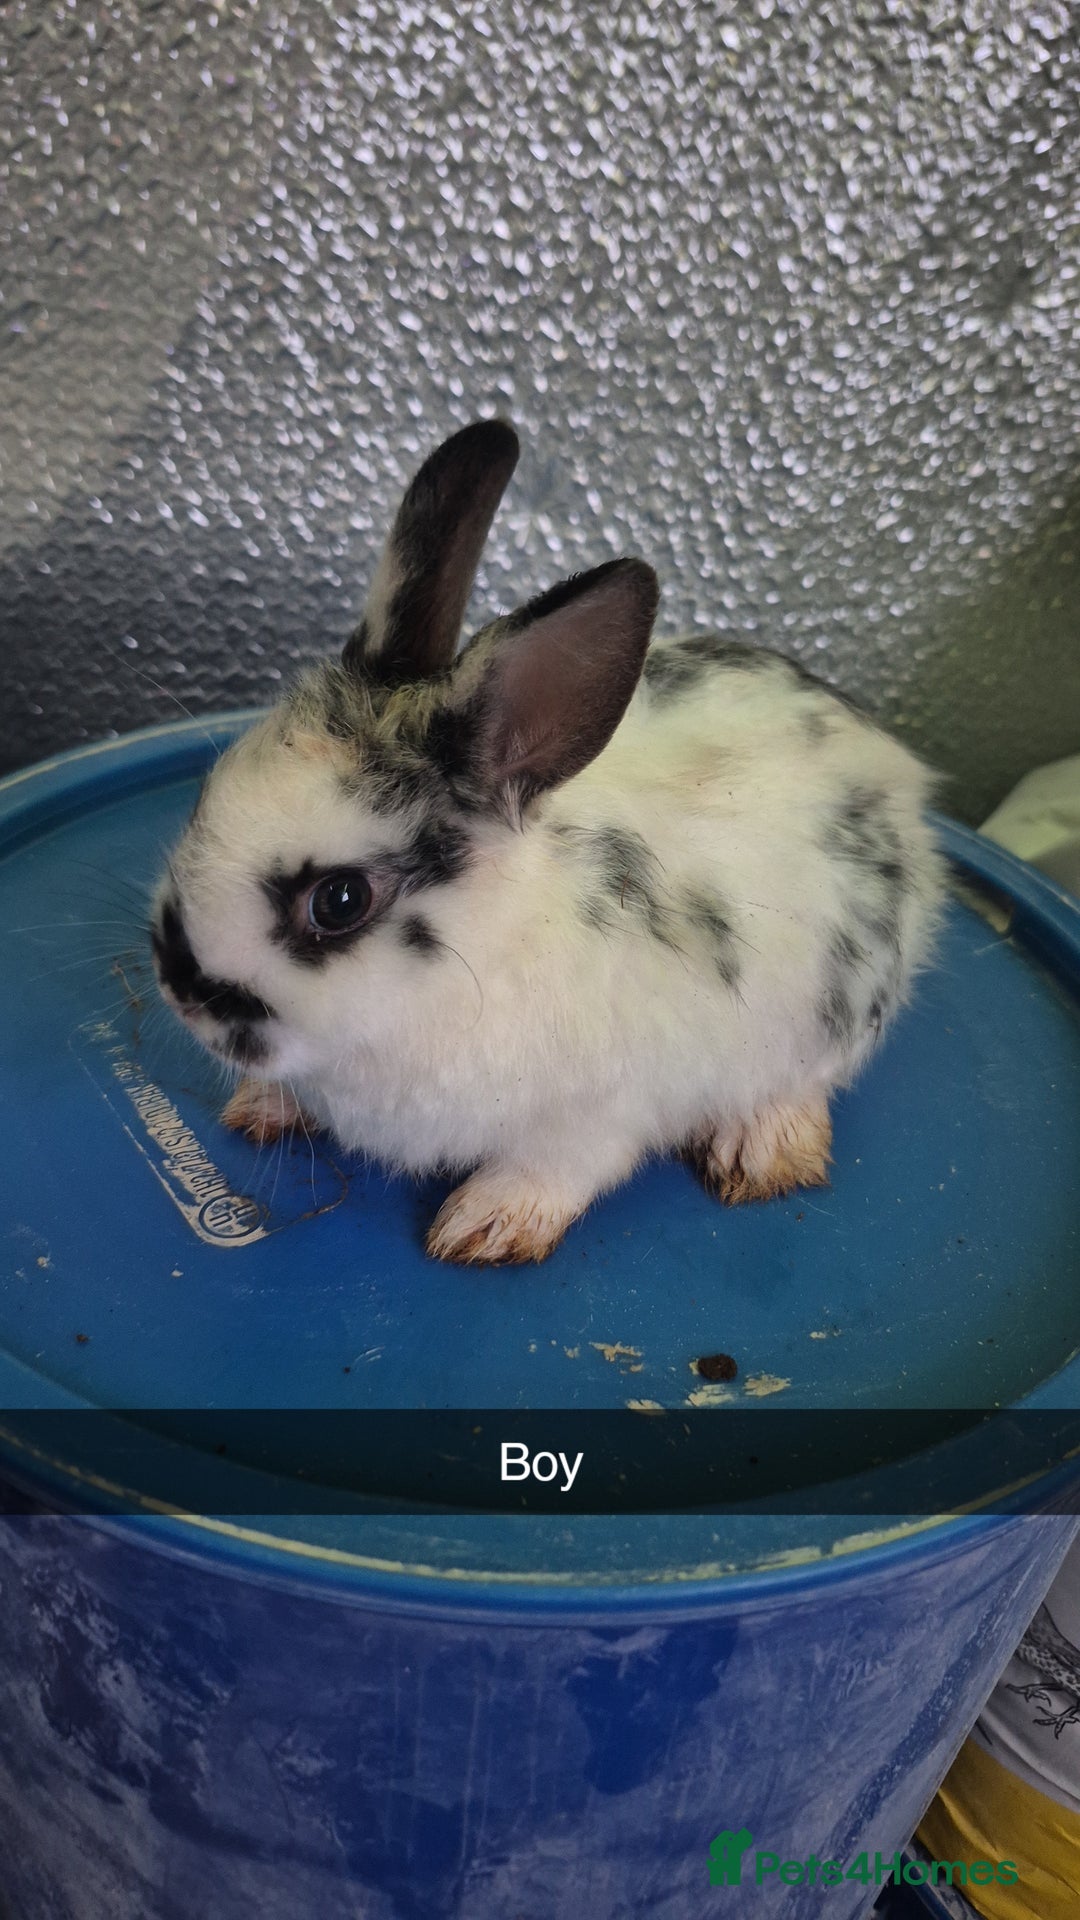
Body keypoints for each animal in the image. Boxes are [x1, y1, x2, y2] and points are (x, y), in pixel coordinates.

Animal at [150, 418, 944, 1266]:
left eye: (338, 901)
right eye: (206, 795)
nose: (180, 986)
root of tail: (888, 763)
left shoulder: (600, 1115)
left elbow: (555, 1169)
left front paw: (487, 1225)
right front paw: (262, 1108)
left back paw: (762, 1149)